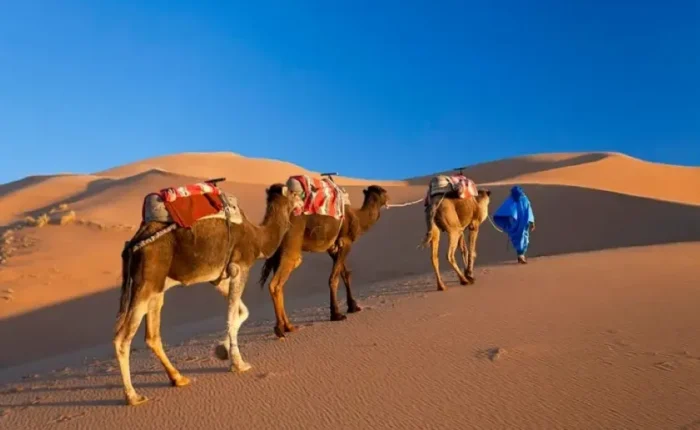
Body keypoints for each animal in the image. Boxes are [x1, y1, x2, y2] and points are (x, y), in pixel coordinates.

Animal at [113, 183, 302, 406]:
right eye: (294, 192)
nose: (302, 200)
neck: (258, 237)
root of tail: (133, 244)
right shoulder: (240, 267)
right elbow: (231, 316)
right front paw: (239, 364)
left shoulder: (218, 278)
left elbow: (242, 312)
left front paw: (222, 350)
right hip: (146, 281)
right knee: (122, 337)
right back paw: (133, 396)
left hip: (156, 286)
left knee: (152, 335)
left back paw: (178, 378)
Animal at [257, 182, 389, 338]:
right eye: (383, 191)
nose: (389, 198)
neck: (358, 218)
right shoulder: (346, 242)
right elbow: (334, 279)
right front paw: (336, 314)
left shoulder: (333, 248)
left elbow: (345, 274)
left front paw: (353, 306)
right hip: (291, 245)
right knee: (276, 284)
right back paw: (280, 329)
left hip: (279, 252)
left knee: (280, 284)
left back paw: (289, 326)